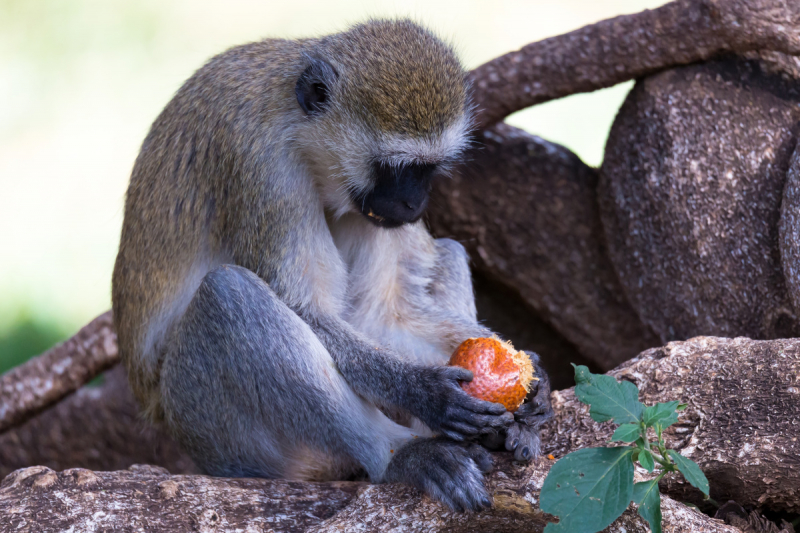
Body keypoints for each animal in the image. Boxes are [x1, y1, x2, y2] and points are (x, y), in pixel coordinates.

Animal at [111, 19, 552, 512]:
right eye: (396, 168)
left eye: (428, 169)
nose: (414, 204)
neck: (296, 123)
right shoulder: (259, 162)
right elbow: (309, 308)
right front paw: (424, 392)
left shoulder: (368, 210)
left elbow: (384, 318)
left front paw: (534, 383)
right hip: (221, 435)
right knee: (228, 294)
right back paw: (405, 454)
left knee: (446, 253)